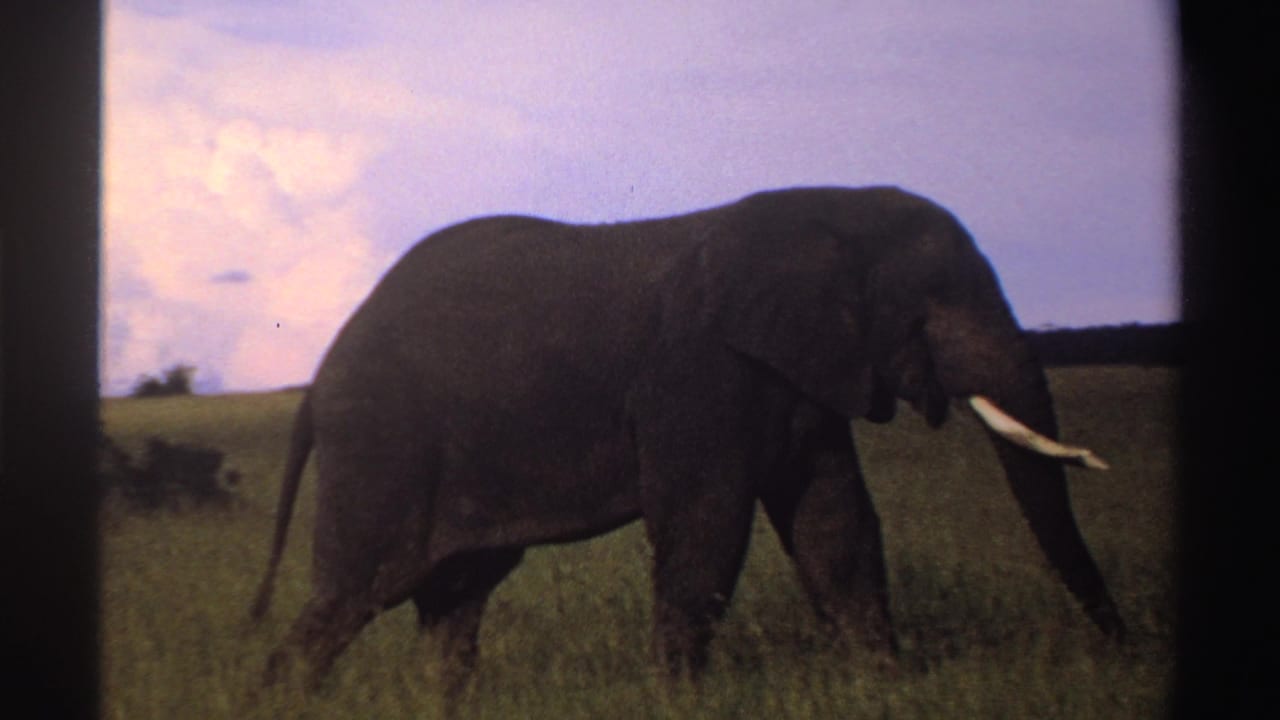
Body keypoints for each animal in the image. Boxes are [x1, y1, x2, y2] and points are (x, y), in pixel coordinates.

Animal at [250, 185, 1123, 693]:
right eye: (934, 302)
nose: (1123, 646)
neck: (817, 212)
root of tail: (319, 375)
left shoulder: (803, 379)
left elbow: (835, 523)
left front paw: (887, 686)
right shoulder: (696, 372)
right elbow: (708, 522)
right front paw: (679, 699)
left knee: (455, 598)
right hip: (384, 441)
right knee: (358, 591)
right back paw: (281, 695)